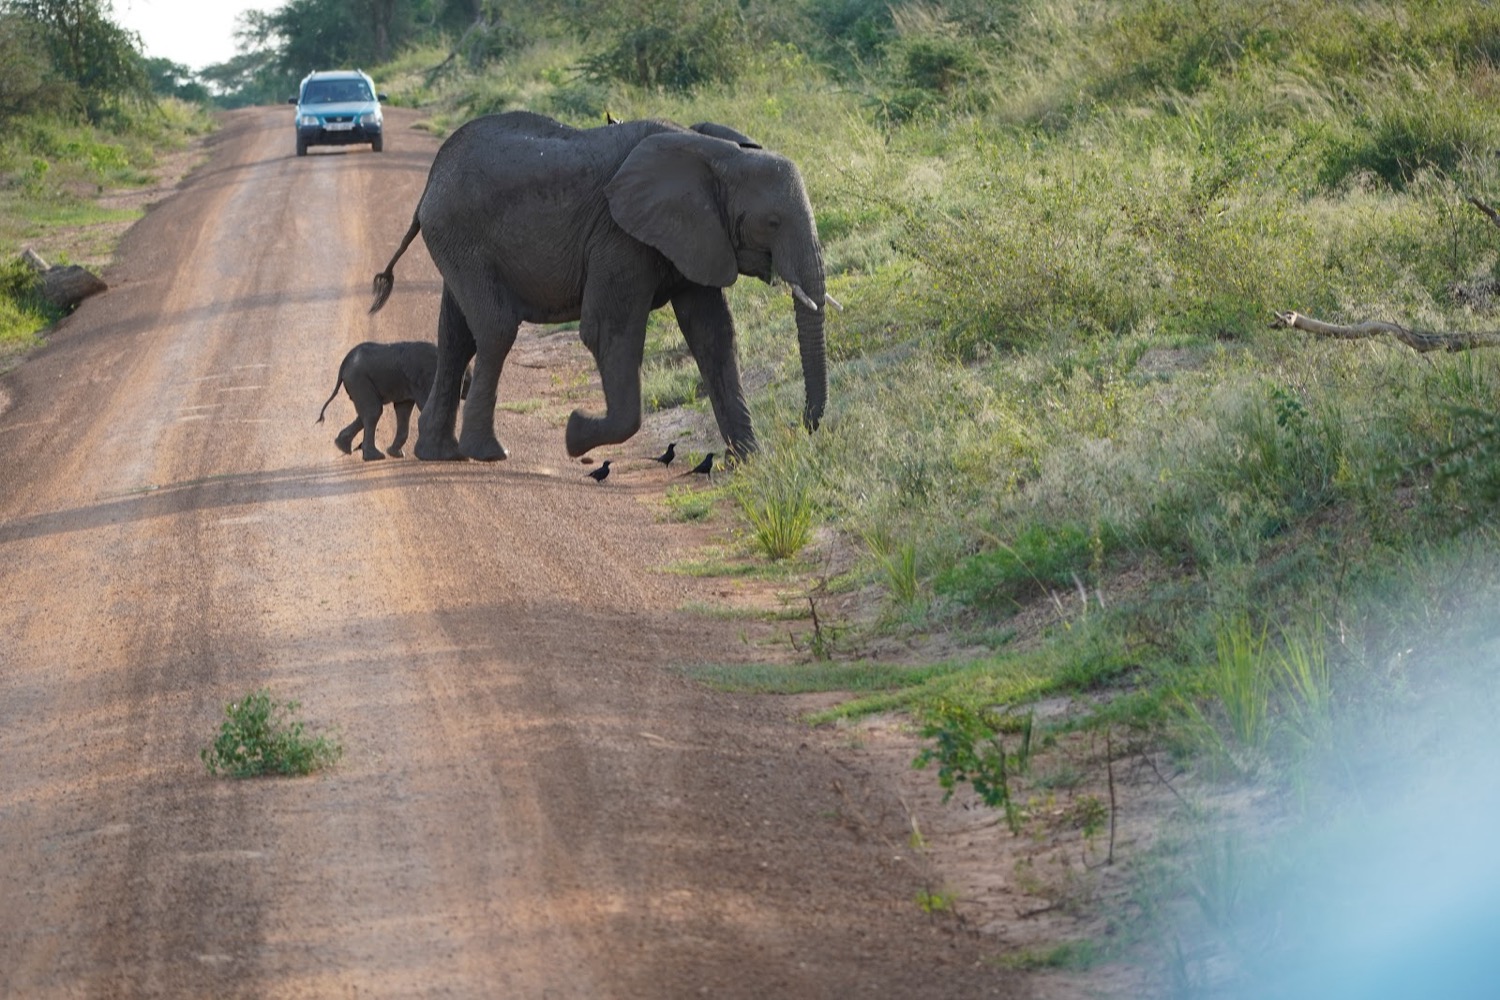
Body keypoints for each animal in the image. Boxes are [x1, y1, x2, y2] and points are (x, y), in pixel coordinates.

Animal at [316, 340, 459, 460]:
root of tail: (345, 361)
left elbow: (403, 409)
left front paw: (397, 454)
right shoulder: (423, 379)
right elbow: (423, 406)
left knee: (366, 413)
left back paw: (343, 446)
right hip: (358, 379)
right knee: (373, 412)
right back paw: (374, 456)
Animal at [368, 110, 832, 463]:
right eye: (772, 222)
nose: (806, 425)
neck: (716, 152)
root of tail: (430, 182)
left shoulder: (697, 235)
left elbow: (713, 334)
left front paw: (750, 461)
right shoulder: (619, 237)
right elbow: (606, 330)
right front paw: (575, 434)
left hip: (457, 243)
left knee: (456, 335)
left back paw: (438, 453)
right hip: (461, 238)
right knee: (495, 328)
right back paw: (487, 453)